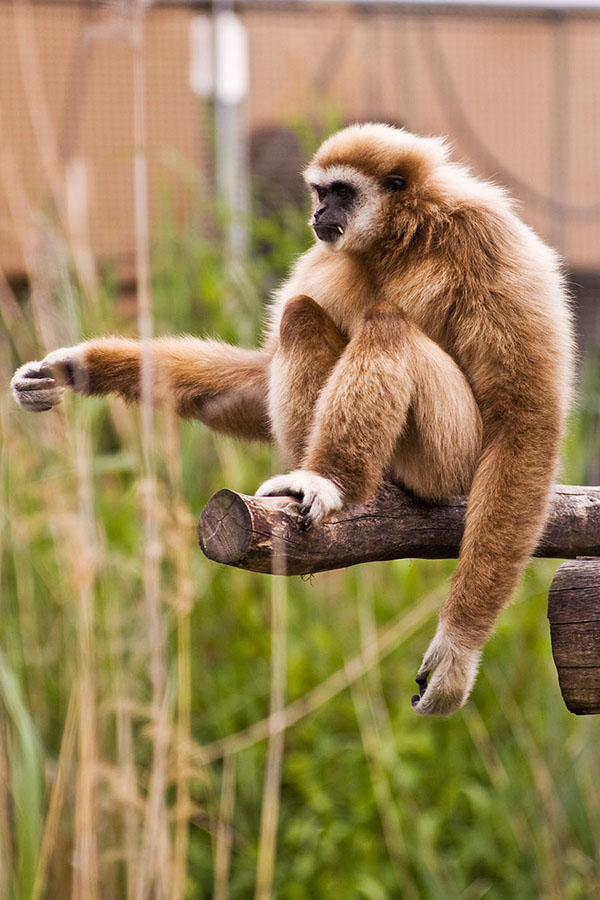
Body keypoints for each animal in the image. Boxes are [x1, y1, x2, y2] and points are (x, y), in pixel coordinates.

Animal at [11, 123, 574, 716]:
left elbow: (525, 421)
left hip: (450, 462)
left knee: (387, 325)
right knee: (301, 314)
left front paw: (458, 649)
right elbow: (259, 380)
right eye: (319, 192)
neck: (406, 237)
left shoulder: (490, 240)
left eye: (342, 192)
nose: (319, 211)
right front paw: (80, 367)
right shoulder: (326, 255)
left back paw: (329, 480)